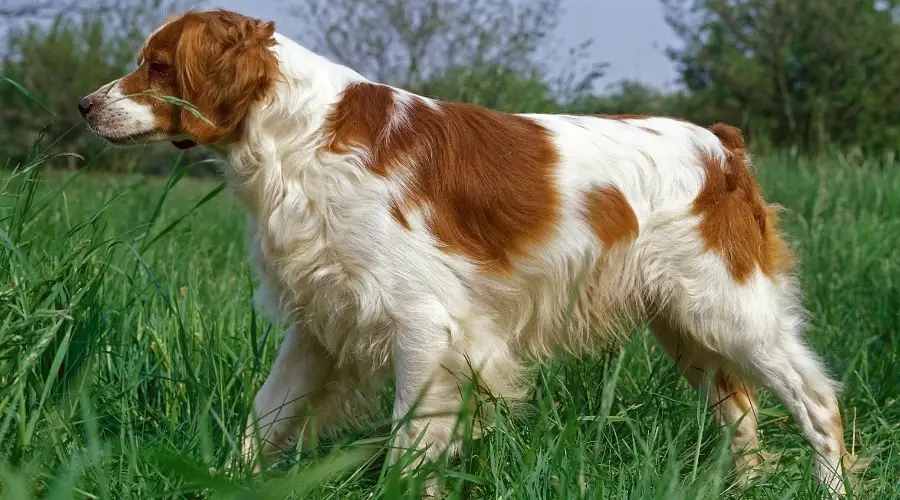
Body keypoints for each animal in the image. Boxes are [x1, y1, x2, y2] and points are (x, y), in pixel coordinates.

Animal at [82, 7, 864, 496]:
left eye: (157, 65)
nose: (87, 105)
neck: (299, 139)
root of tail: (722, 145)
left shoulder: (426, 328)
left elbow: (406, 448)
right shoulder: (319, 329)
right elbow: (263, 423)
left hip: (730, 310)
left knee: (815, 399)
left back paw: (831, 486)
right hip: (686, 325)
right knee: (743, 413)